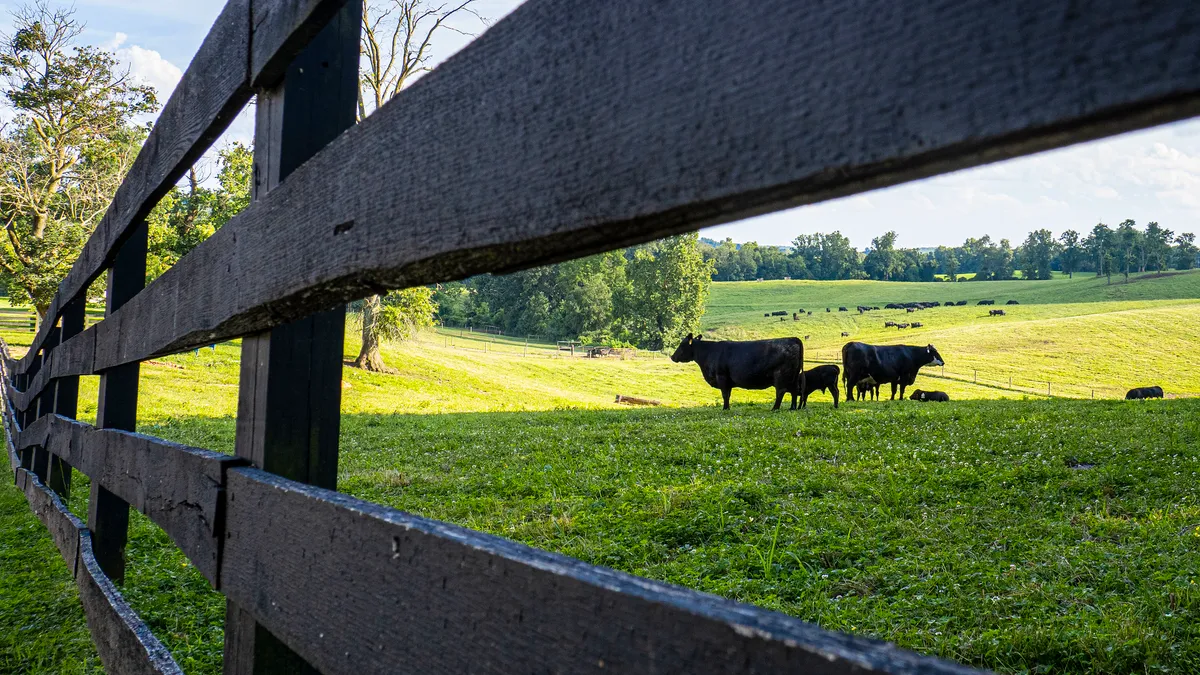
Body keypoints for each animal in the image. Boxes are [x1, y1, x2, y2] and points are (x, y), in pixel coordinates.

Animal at [672, 331, 801, 408]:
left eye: (681, 345)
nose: (672, 357)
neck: (709, 353)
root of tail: (793, 339)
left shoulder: (722, 377)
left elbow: (725, 394)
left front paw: (725, 408)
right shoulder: (728, 381)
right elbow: (728, 395)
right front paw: (727, 408)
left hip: (781, 376)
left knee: (781, 391)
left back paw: (775, 408)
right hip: (794, 377)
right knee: (794, 391)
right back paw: (792, 408)